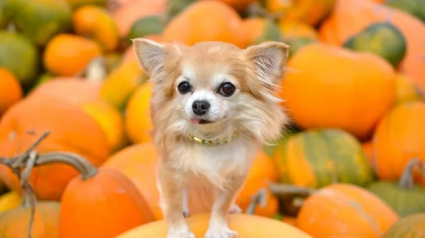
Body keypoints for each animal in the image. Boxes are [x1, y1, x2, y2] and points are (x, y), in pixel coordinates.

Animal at [134, 39, 290, 238]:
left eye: (227, 88)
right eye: (183, 87)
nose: (199, 104)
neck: (209, 139)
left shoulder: (234, 176)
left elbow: (221, 205)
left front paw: (218, 229)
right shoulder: (170, 171)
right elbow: (173, 205)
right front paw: (179, 231)